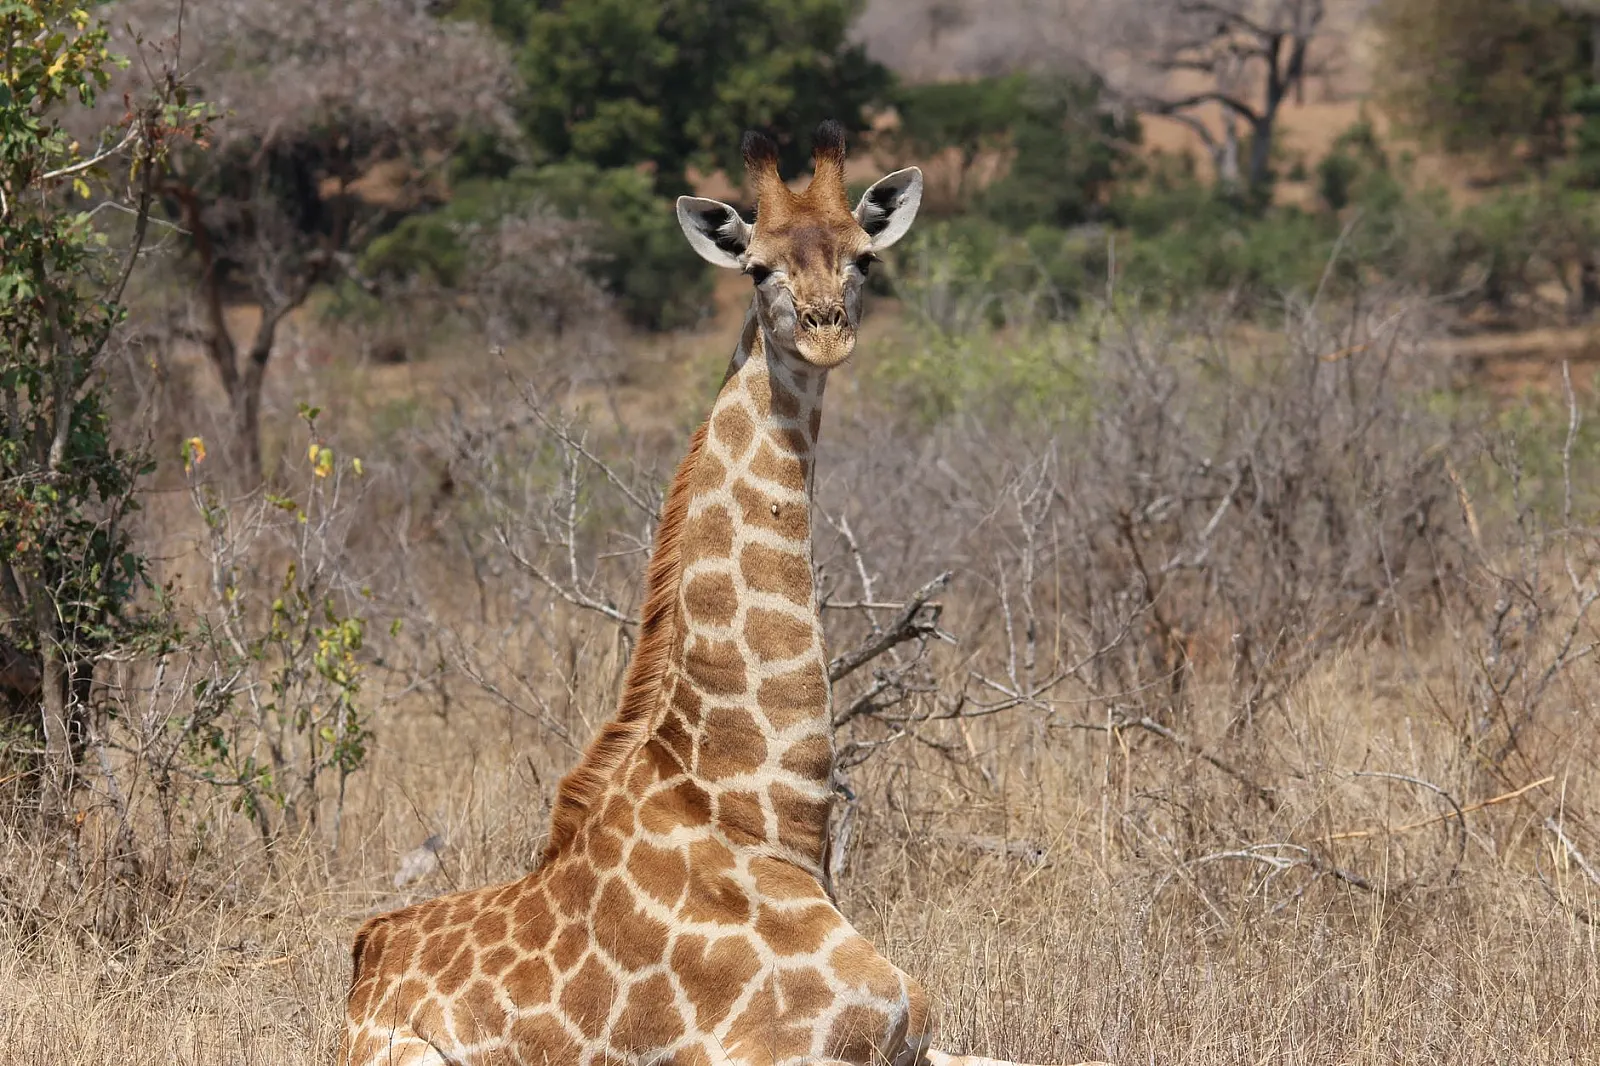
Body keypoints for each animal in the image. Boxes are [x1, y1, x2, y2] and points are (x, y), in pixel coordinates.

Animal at [339, 122, 1108, 1066]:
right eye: (757, 268)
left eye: (864, 259)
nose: (824, 331)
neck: (760, 809)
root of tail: (363, 964)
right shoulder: (797, 1047)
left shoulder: (919, 1036)